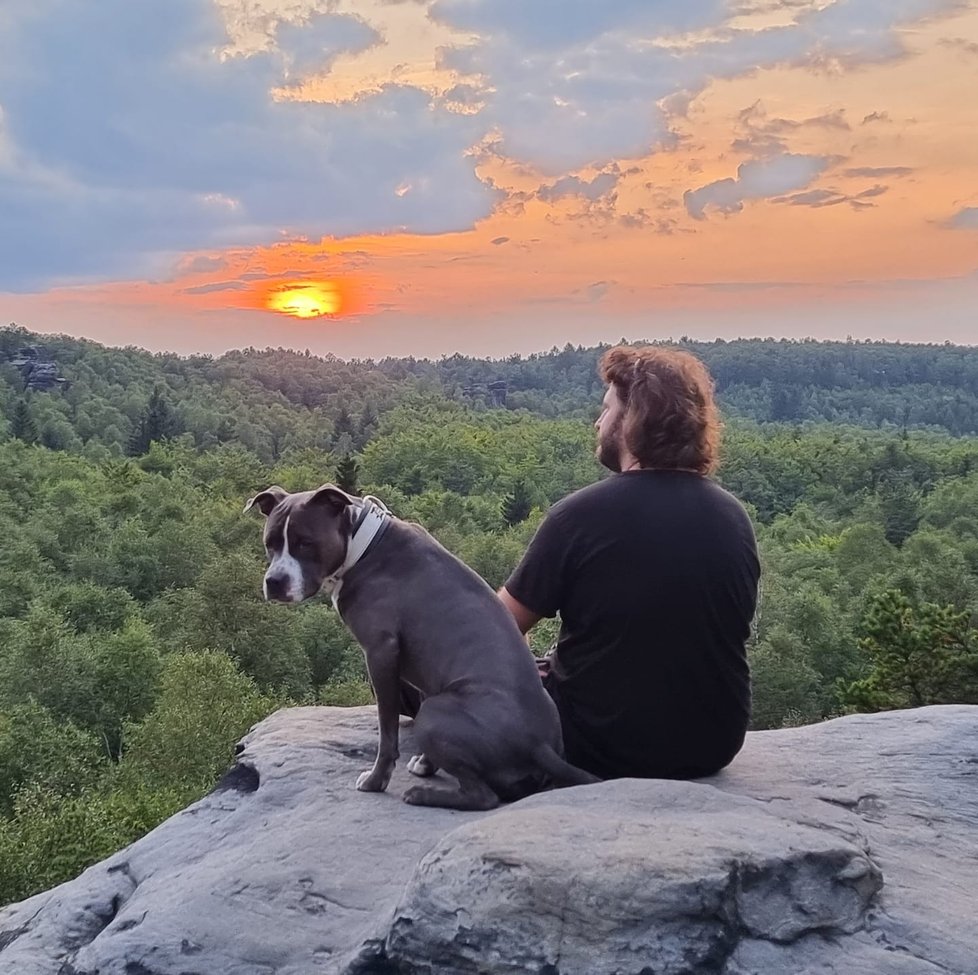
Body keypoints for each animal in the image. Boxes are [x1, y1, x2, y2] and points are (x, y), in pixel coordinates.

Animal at [244, 484, 596, 812]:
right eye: (270, 543)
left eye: (305, 542)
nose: (274, 581)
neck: (363, 546)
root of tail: (538, 744)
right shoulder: (428, 670)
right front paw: (426, 764)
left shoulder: (381, 653)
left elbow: (387, 733)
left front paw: (376, 781)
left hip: (434, 713)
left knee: (483, 796)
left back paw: (422, 795)